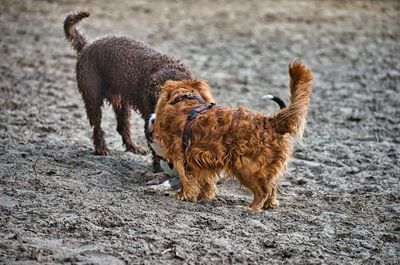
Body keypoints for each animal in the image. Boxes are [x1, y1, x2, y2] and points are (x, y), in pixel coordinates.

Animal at [64, 11, 214, 168]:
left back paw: (133, 147)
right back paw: (102, 148)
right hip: (93, 97)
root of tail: (87, 45)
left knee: (122, 126)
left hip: (122, 103)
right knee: (97, 126)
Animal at [155, 59, 314, 210]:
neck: (184, 100)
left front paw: (183, 195)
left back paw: (250, 208)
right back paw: (270, 204)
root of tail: (270, 121)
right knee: (271, 187)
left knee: (263, 191)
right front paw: (203, 196)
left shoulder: (182, 157)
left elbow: (186, 179)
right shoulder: (202, 158)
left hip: (246, 167)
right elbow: (205, 180)